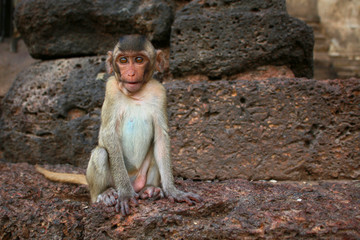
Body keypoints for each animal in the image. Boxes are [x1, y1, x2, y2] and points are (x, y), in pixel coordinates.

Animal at [36, 34, 202, 216]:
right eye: (123, 60)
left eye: (138, 59)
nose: (130, 73)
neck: (137, 94)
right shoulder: (111, 90)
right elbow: (109, 135)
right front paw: (126, 194)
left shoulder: (160, 93)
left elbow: (161, 138)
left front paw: (173, 191)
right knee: (101, 153)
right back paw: (106, 193)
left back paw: (150, 189)